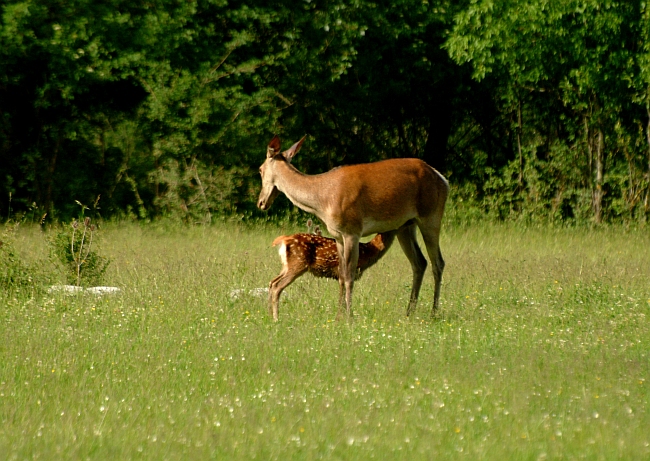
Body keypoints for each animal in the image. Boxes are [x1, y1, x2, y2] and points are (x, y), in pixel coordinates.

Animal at [256, 135, 448, 318]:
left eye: (260, 169)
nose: (260, 202)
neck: (322, 201)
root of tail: (443, 180)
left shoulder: (352, 230)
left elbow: (349, 276)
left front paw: (349, 317)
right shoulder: (338, 235)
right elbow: (341, 275)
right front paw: (339, 316)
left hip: (431, 215)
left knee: (438, 262)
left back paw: (434, 312)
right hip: (406, 225)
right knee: (420, 262)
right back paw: (409, 312)